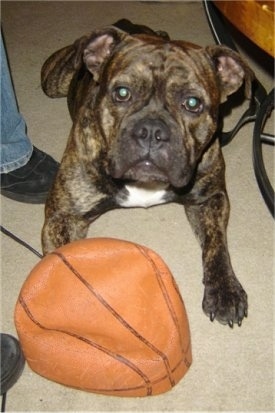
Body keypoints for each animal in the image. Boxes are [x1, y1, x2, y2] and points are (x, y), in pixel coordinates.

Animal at [40, 19, 254, 326]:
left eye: (193, 103)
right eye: (122, 93)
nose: (151, 131)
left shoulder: (210, 199)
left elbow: (217, 245)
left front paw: (225, 289)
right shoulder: (63, 217)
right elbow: (60, 257)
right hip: (53, 80)